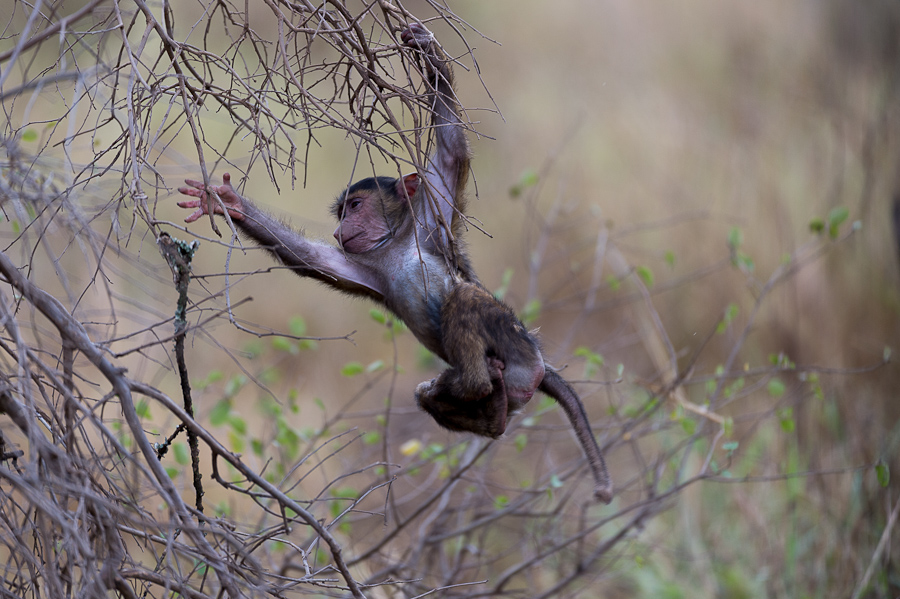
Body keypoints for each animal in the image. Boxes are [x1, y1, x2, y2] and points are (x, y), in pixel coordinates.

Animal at [177, 23, 613, 503]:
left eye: (355, 206)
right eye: (342, 212)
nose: (340, 230)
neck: (397, 243)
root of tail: (537, 369)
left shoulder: (432, 221)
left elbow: (452, 152)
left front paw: (429, 56)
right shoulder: (370, 266)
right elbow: (312, 260)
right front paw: (227, 203)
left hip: (518, 346)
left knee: (464, 300)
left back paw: (471, 382)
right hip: (517, 384)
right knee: (447, 395)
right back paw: (490, 415)